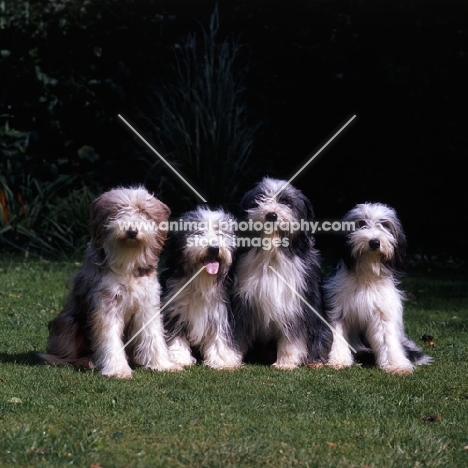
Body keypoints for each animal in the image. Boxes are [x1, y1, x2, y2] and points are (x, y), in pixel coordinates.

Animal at [39, 185, 181, 378]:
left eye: (143, 212)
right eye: (118, 210)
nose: (132, 231)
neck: (127, 260)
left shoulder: (147, 303)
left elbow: (153, 336)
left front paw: (163, 364)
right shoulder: (107, 303)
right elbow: (109, 338)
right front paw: (118, 370)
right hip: (69, 323)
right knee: (62, 357)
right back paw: (87, 361)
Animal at [160, 207, 241, 368]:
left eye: (220, 232)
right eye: (198, 231)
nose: (214, 248)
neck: (200, 283)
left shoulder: (219, 311)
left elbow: (219, 335)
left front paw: (222, 359)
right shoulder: (174, 311)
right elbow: (175, 335)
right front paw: (179, 358)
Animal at [230, 177, 330, 368]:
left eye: (286, 202)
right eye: (259, 198)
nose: (271, 215)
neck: (272, 255)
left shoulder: (294, 305)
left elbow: (292, 338)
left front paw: (286, 362)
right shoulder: (243, 303)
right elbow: (237, 335)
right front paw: (229, 359)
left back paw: (315, 361)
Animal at [324, 203, 434, 374]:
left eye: (385, 225)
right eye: (361, 223)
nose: (374, 242)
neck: (367, 274)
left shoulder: (383, 312)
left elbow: (386, 339)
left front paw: (396, 365)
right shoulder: (338, 308)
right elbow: (338, 334)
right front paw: (338, 360)